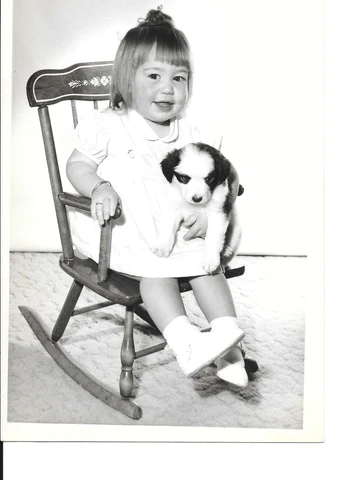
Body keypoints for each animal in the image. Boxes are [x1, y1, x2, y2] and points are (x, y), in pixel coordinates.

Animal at [151, 141, 242, 272]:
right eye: (184, 178)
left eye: (209, 179)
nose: (197, 199)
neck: (194, 206)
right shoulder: (173, 208)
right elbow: (167, 227)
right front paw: (162, 246)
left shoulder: (218, 213)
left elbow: (214, 237)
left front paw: (210, 260)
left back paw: (225, 249)